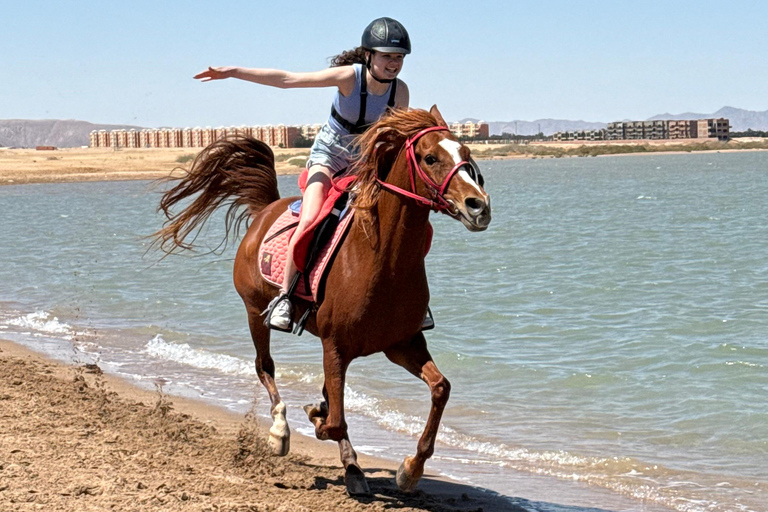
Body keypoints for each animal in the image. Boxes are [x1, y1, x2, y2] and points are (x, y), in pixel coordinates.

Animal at [154, 105, 491, 496]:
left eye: (465, 153)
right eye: (430, 157)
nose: (479, 206)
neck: (382, 259)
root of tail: (266, 210)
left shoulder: (402, 343)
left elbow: (439, 389)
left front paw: (410, 468)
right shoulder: (335, 347)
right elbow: (335, 421)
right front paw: (318, 422)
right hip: (255, 312)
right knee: (264, 367)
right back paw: (282, 433)